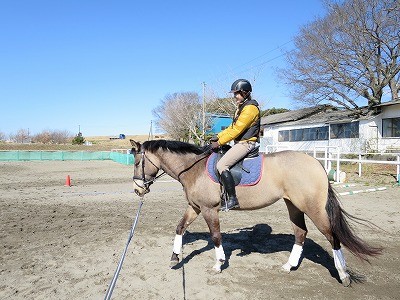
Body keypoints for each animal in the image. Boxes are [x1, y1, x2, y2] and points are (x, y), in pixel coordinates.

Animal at [130, 139, 382, 288]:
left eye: (136, 161)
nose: (137, 189)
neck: (194, 168)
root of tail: (316, 163)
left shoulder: (209, 209)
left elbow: (216, 237)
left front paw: (219, 263)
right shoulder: (195, 207)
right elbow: (180, 227)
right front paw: (175, 257)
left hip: (313, 208)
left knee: (332, 236)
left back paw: (343, 275)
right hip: (293, 206)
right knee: (301, 233)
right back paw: (289, 266)